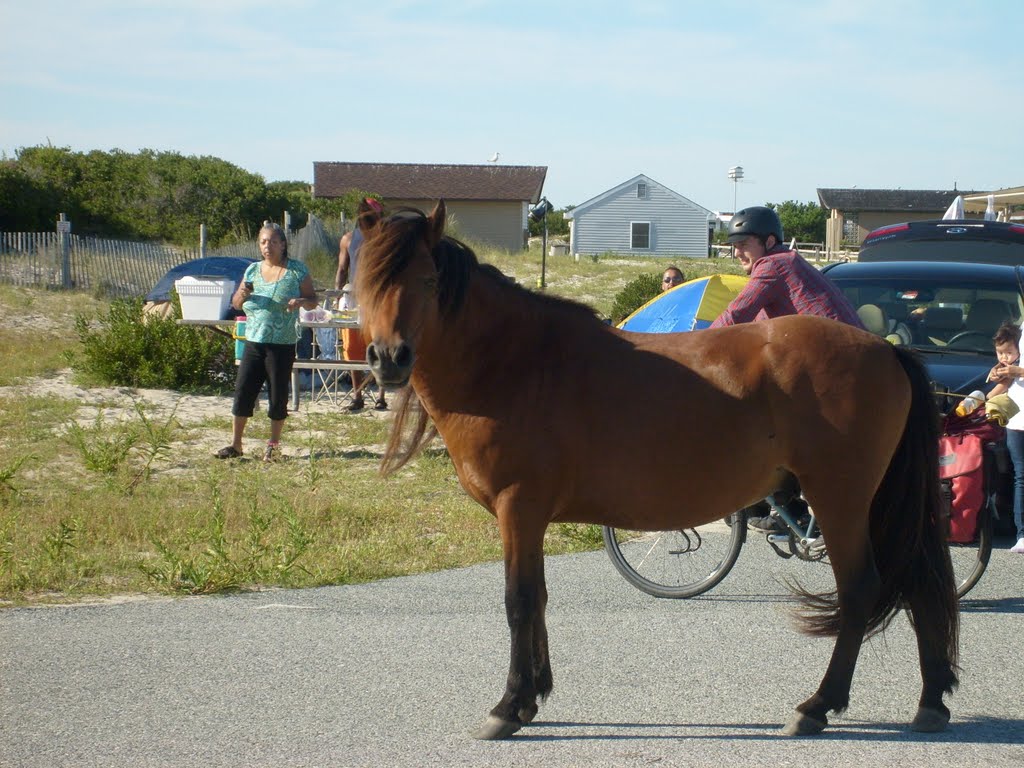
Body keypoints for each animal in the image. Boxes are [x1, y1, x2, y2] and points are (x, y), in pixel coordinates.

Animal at [354, 202, 958, 741]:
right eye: (364, 282)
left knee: (861, 589)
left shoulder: (517, 508)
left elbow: (519, 601)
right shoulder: (531, 518)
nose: (389, 359)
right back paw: (931, 701)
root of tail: (883, 349)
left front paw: (508, 706)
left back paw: (817, 705)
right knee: (919, 583)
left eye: (429, 280)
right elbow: (539, 597)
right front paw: (533, 696)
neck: (515, 363)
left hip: (841, 499)